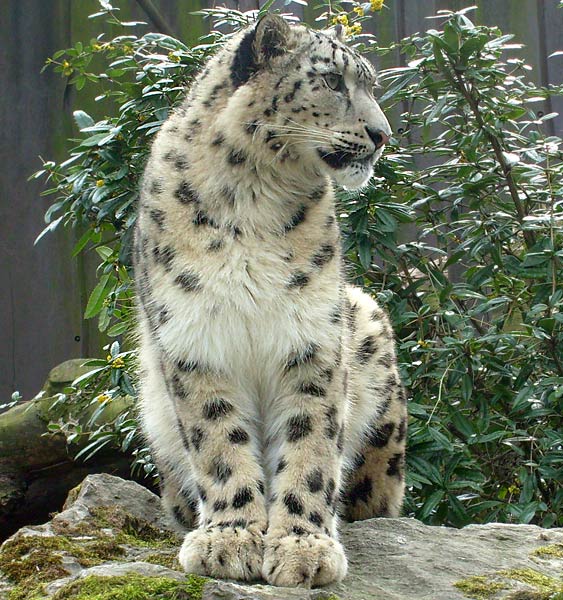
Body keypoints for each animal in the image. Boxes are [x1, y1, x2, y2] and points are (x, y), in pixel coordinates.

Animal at [133, 15, 406, 592]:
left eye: (370, 85)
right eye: (332, 81)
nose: (382, 135)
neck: (253, 199)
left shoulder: (312, 338)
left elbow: (311, 445)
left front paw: (304, 547)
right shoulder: (194, 338)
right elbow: (218, 441)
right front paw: (230, 538)